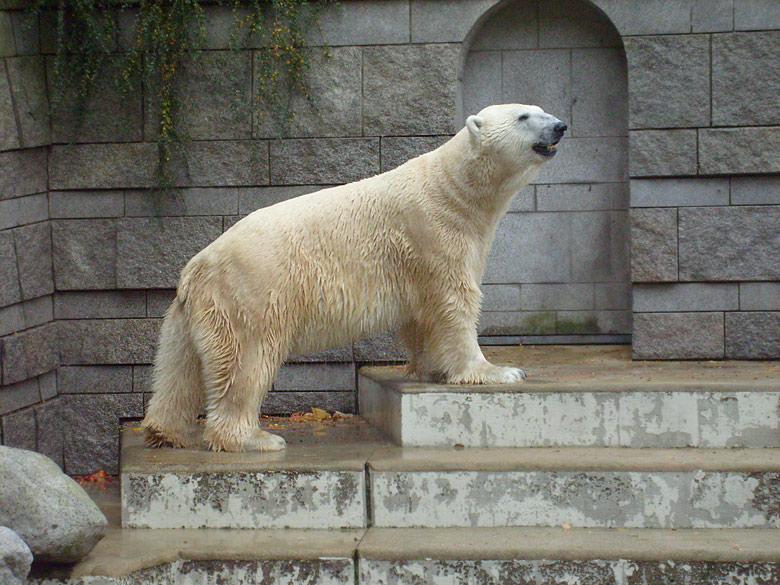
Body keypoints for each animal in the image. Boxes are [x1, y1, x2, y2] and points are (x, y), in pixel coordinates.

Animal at [142, 104, 568, 452]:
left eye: (541, 109)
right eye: (524, 116)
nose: (560, 126)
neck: (454, 189)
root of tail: (196, 267)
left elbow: (425, 315)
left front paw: (434, 367)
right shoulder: (433, 233)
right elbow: (454, 303)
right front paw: (498, 370)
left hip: (192, 313)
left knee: (178, 367)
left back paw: (164, 431)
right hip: (252, 293)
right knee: (246, 360)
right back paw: (254, 438)